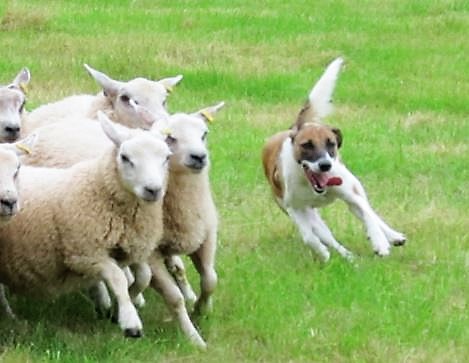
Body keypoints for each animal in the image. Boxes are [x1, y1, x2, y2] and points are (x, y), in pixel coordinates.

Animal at [0, 114, 170, 338]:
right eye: (125, 157)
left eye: (167, 157)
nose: (153, 190)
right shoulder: (85, 253)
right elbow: (118, 278)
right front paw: (130, 321)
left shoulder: (131, 249)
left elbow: (143, 277)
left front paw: (121, 308)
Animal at [262, 57, 404, 262]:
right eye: (307, 145)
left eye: (331, 144)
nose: (325, 165)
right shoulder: (295, 208)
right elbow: (309, 237)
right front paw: (324, 253)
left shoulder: (350, 192)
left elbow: (367, 213)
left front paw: (380, 243)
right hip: (307, 212)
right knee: (325, 235)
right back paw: (347, 256)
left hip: (352, 186)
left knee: (367, 211)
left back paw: (392, 236)